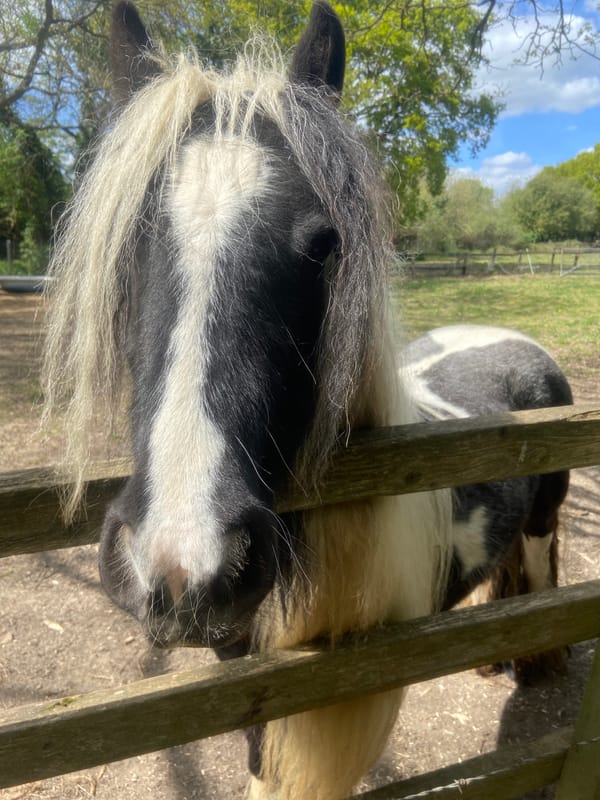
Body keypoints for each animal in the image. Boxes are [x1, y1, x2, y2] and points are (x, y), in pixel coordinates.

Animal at [42, 3, 572, 798]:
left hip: (542, 526)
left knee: (537, 579)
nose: (183, 564)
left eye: (324, 245)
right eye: (123, 245)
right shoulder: (249, 674)